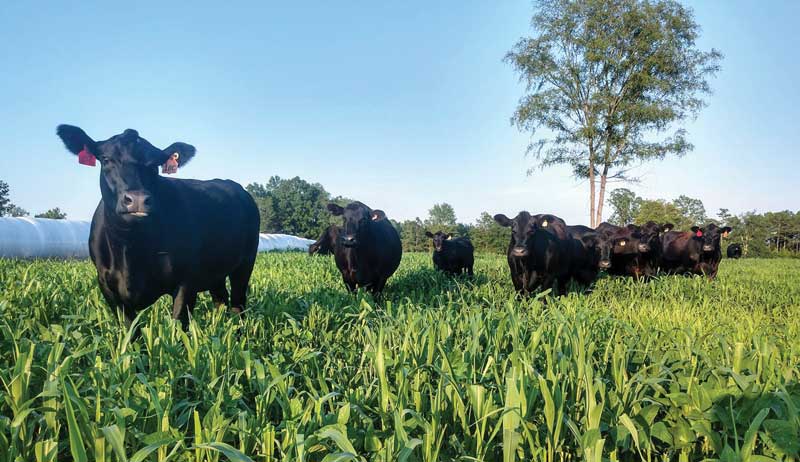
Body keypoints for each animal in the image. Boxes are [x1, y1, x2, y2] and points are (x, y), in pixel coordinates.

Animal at [56, 125, 260, 330]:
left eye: (155, 165)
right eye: (106, 159)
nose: (137, 199)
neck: (130, 248)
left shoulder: (186, 282)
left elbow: (178, 326)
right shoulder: (106, 285)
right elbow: (131, 330)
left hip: (245, 263)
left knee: (238, 304)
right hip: (216, 271)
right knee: (221, 299)